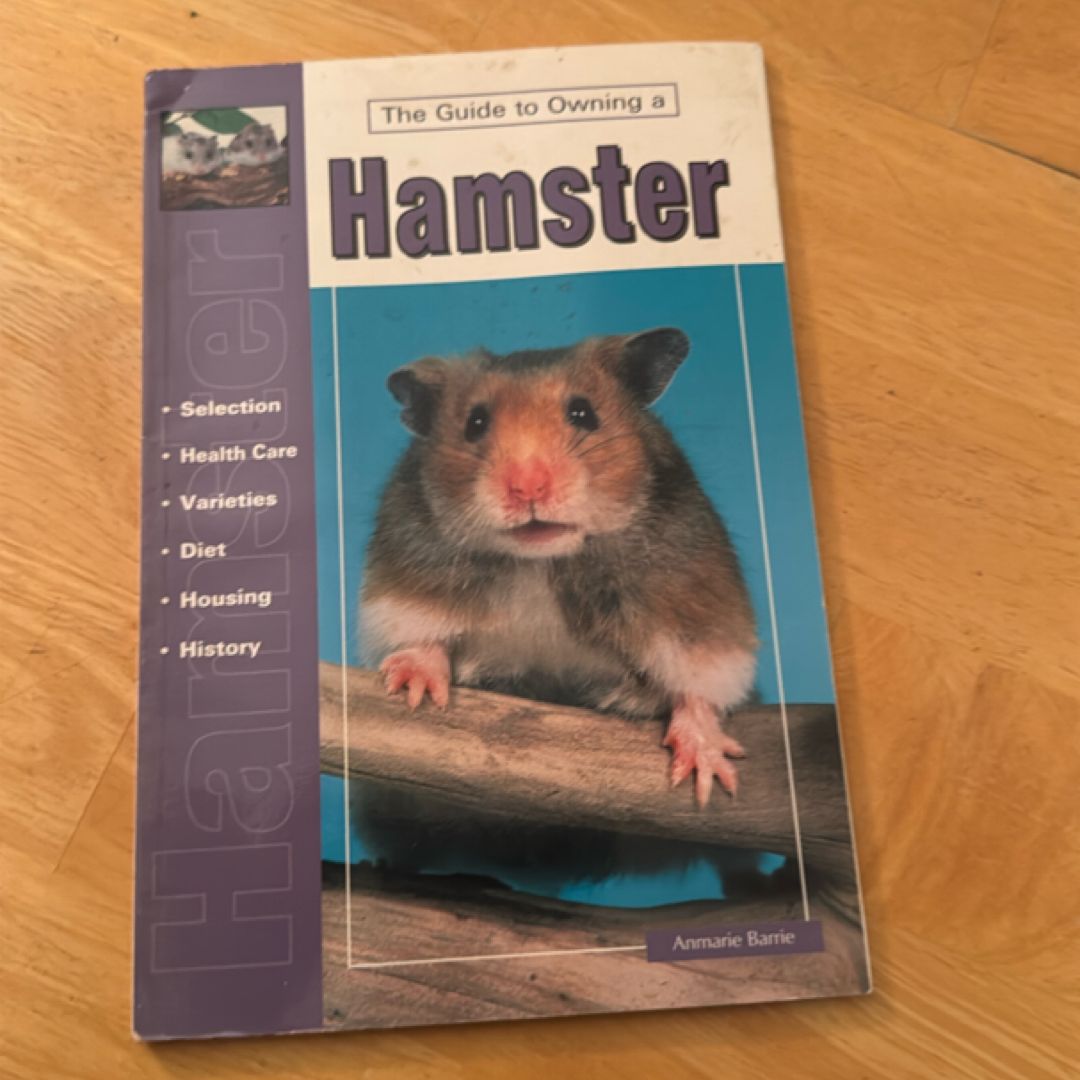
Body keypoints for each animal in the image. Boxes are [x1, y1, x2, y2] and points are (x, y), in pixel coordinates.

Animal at [361, 328, 758, 807]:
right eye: (475, 423)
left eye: (583, 412)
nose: (528, 488)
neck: (540, 562)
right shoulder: (408, 577)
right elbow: (423, 634)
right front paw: (411, 686)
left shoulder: (695, 609)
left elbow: (697, 684)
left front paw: (708, 770)